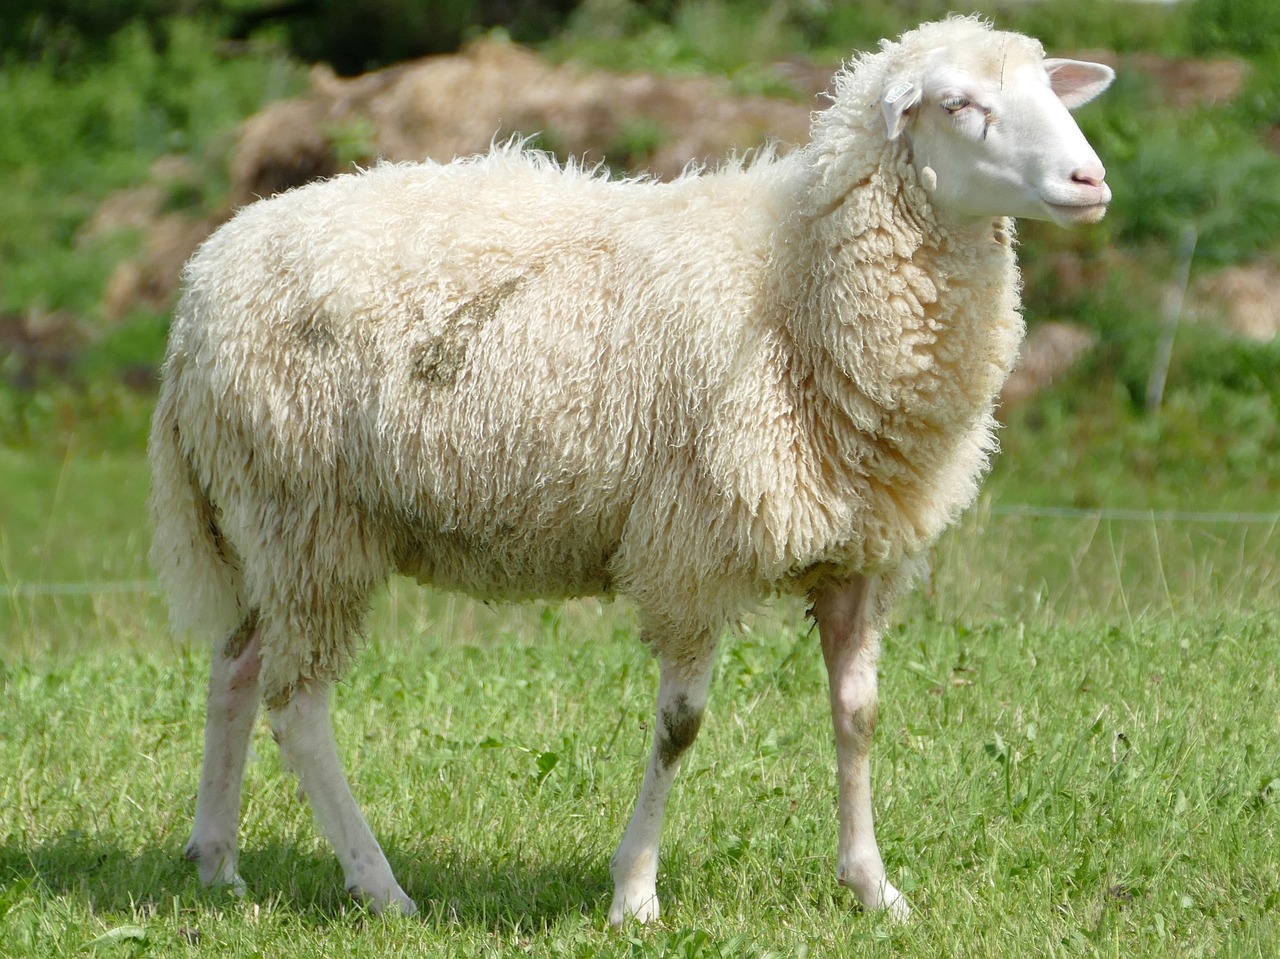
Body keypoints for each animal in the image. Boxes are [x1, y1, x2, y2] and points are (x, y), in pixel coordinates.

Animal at [149, 17, 1114, 924]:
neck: (797, 280)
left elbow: (859, 716)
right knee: (298, 707)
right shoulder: (692, 550)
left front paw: (875, 888)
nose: (1090, 181)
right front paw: (636, 892)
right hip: (308, 515)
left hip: (273, 523)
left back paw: (218, 861)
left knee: (235, 667)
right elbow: (681, 728)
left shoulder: (861, 556)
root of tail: (201, 284)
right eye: (958, 105)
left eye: (1051, 90)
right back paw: (380, 885)